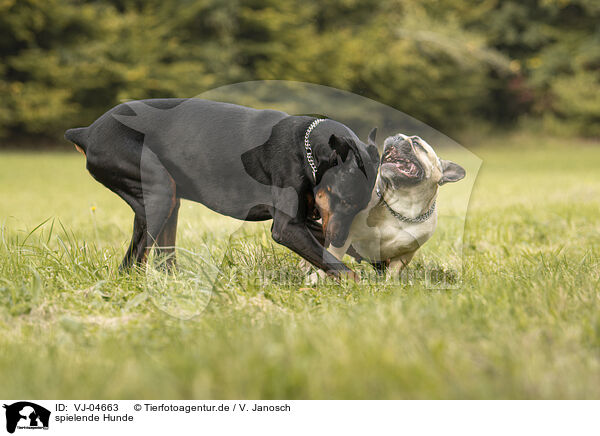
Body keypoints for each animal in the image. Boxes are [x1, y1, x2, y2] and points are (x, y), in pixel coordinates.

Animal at [64, 98, 376, 278]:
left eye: (359, 208)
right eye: (344, 201)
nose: (338, 239)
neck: (306, 147)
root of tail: (87, 132)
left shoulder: (309, 220)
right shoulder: (288, 227)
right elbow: (343, 269)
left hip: (168, 200)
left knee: (157, 259)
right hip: (157, 189)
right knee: (132, 264)